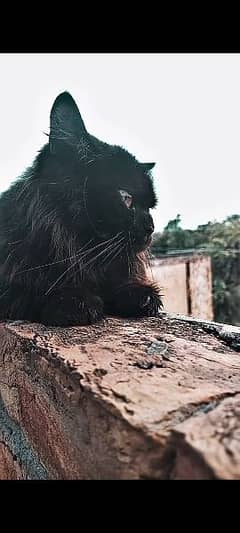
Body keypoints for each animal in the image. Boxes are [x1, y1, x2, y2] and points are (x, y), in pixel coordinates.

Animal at [0, 91, 163, 324]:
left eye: (150, 207)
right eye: (126, 198)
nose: (151, 228)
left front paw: (140, 296)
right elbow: (27, 291)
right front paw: (75, 300)